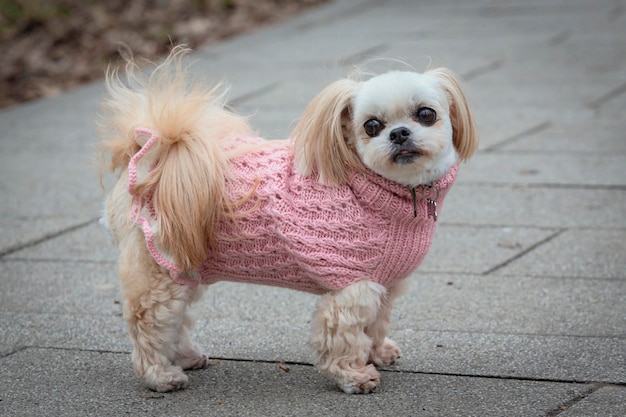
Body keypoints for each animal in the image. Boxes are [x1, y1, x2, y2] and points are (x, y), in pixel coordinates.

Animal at [98, 46, 478, 394]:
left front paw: (378, 352)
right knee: (150, 323)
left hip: (187, 267)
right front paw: (354, 376)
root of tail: (151, 157)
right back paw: (160, 375)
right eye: (372, 126)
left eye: (426, 114)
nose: (398, 133)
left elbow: (376, 324)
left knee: (174, 321)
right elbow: (343, 337)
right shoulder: (351, 287)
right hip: (158, 271)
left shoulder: (383, 284)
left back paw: (186, 357)